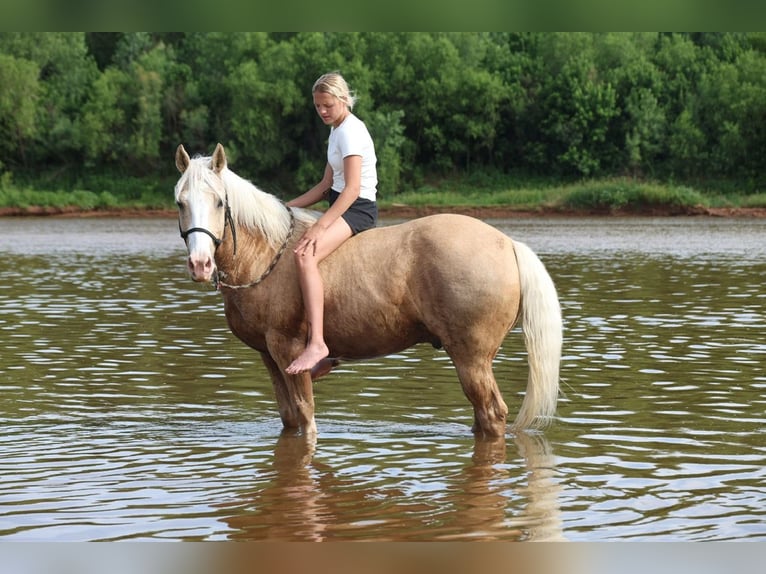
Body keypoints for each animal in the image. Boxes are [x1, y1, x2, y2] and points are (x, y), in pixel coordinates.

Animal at [174, 143, 562, 438]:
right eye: (181, 202)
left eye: (219, 202)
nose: (200, 264)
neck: (268, 253)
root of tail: (507, 243)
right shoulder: (268, 355)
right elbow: (288, 416)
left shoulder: (288, 350)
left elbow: (305, 416)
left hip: (471, 358)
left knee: (492, 414)